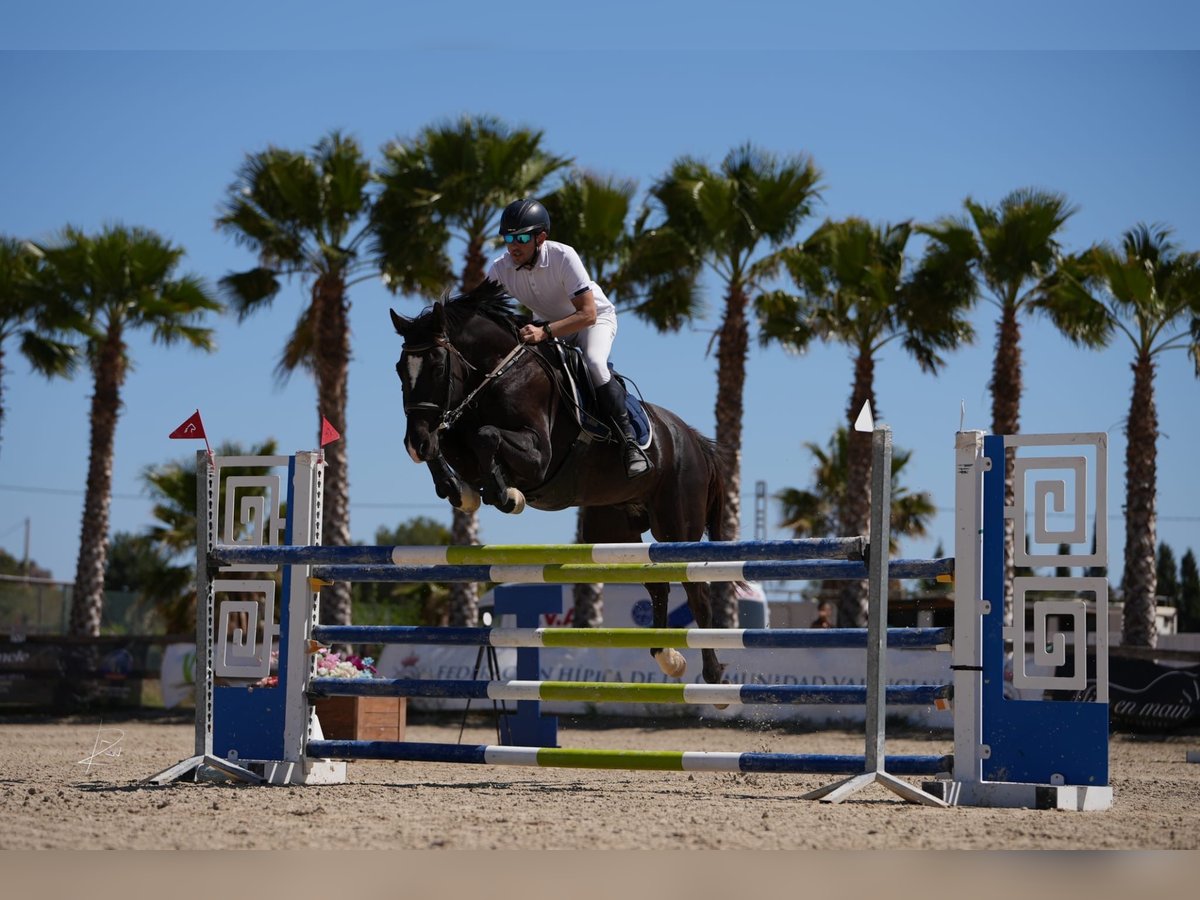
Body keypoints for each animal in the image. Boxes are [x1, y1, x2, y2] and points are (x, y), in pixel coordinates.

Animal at [391, 278, 729, 686]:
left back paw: (712, 673)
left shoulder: (539, 457)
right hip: (614, 528)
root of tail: (693, 439)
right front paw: (460, 490)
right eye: (399, 369)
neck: (497, 374)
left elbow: (486, 436)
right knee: (657, 582)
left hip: (676, 524)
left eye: (438, 366)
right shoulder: (459, 434)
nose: (414, 443)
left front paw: (506, 494)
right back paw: (667, 656)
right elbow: (454, 443)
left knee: (696, 591)